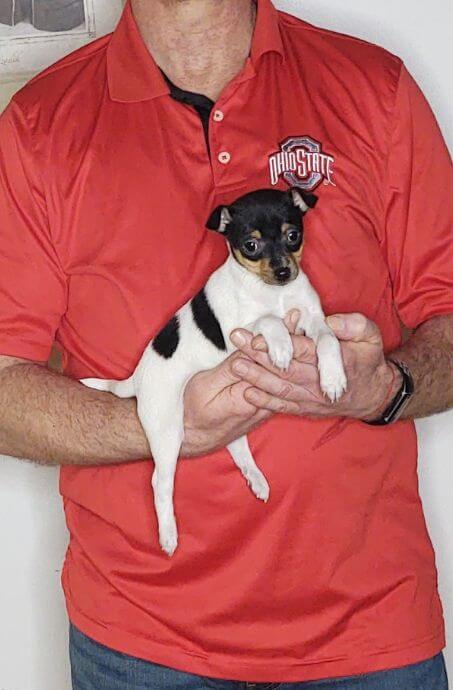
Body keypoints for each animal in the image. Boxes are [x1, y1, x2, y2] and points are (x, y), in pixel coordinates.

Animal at [82, 187, 346, 552]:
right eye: (251, 245)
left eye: (293, 236)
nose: (282, 271)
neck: (273, 293)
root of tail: (136, 379)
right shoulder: (239, 333)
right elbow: (269, 320)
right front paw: (280, 345)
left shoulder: (312, 319)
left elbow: (328, 339)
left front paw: (333, 378)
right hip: (167, 430)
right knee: (160, 482)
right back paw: (168, 534)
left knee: (236, 447)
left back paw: (255, 478)